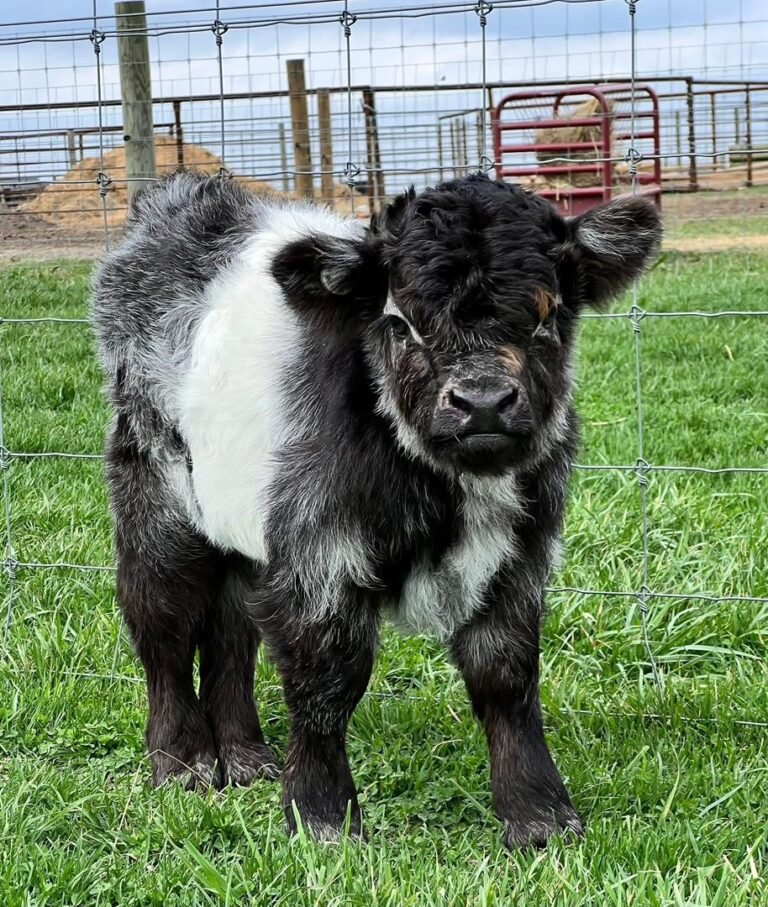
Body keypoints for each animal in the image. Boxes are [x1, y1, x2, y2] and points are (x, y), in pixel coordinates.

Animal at [91, 171, 661, 849]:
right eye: (400, 321)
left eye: (549, 316)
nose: (483, 402)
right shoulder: (319, 552)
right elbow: (328, 679)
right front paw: (322, 818)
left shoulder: (523, 551)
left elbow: (507, 675)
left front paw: (540, 817)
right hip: (155, 490)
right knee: (163, 623)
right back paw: (183, 764)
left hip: (245, 520)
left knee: (232, 629)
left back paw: (247, 759)